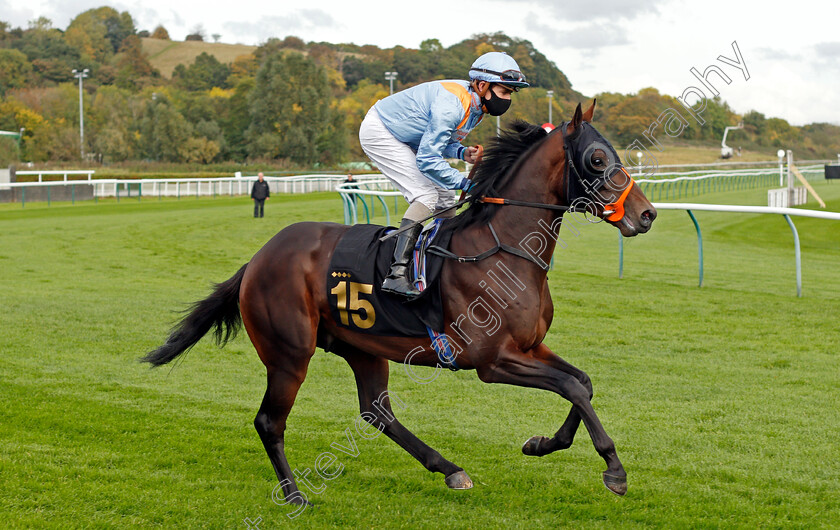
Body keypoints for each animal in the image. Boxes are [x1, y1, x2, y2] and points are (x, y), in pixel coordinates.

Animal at [143, 101, 656, 506]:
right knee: (270, 421)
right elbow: (571, 388)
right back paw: (294, 494)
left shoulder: (529, 348)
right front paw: (614, 470)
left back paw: (450, 469)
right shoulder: (493, 361)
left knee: (377, 412)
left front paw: (543, 443)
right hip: (289, 354)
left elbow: (582, 384)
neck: (502, 248)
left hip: (361, 346)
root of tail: (257, 258)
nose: (647, 214)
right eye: (596, 158)